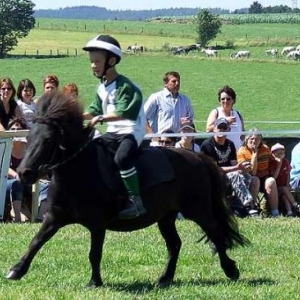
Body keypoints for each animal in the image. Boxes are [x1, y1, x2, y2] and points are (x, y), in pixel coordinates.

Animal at [7, 92, 250, 288]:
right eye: (29, 137)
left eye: (48, 140)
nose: (24, 172)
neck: (79, 170)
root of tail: (198, 158)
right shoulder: (54, 217)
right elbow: (37, 241)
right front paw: (16, 270)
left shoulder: (97, 224)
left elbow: (94, 253)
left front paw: (95, 282)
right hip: (166, 217)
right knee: (175, 245)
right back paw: (165, 278)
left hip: (197, 210)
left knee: (215, 233)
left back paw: (231, 270)